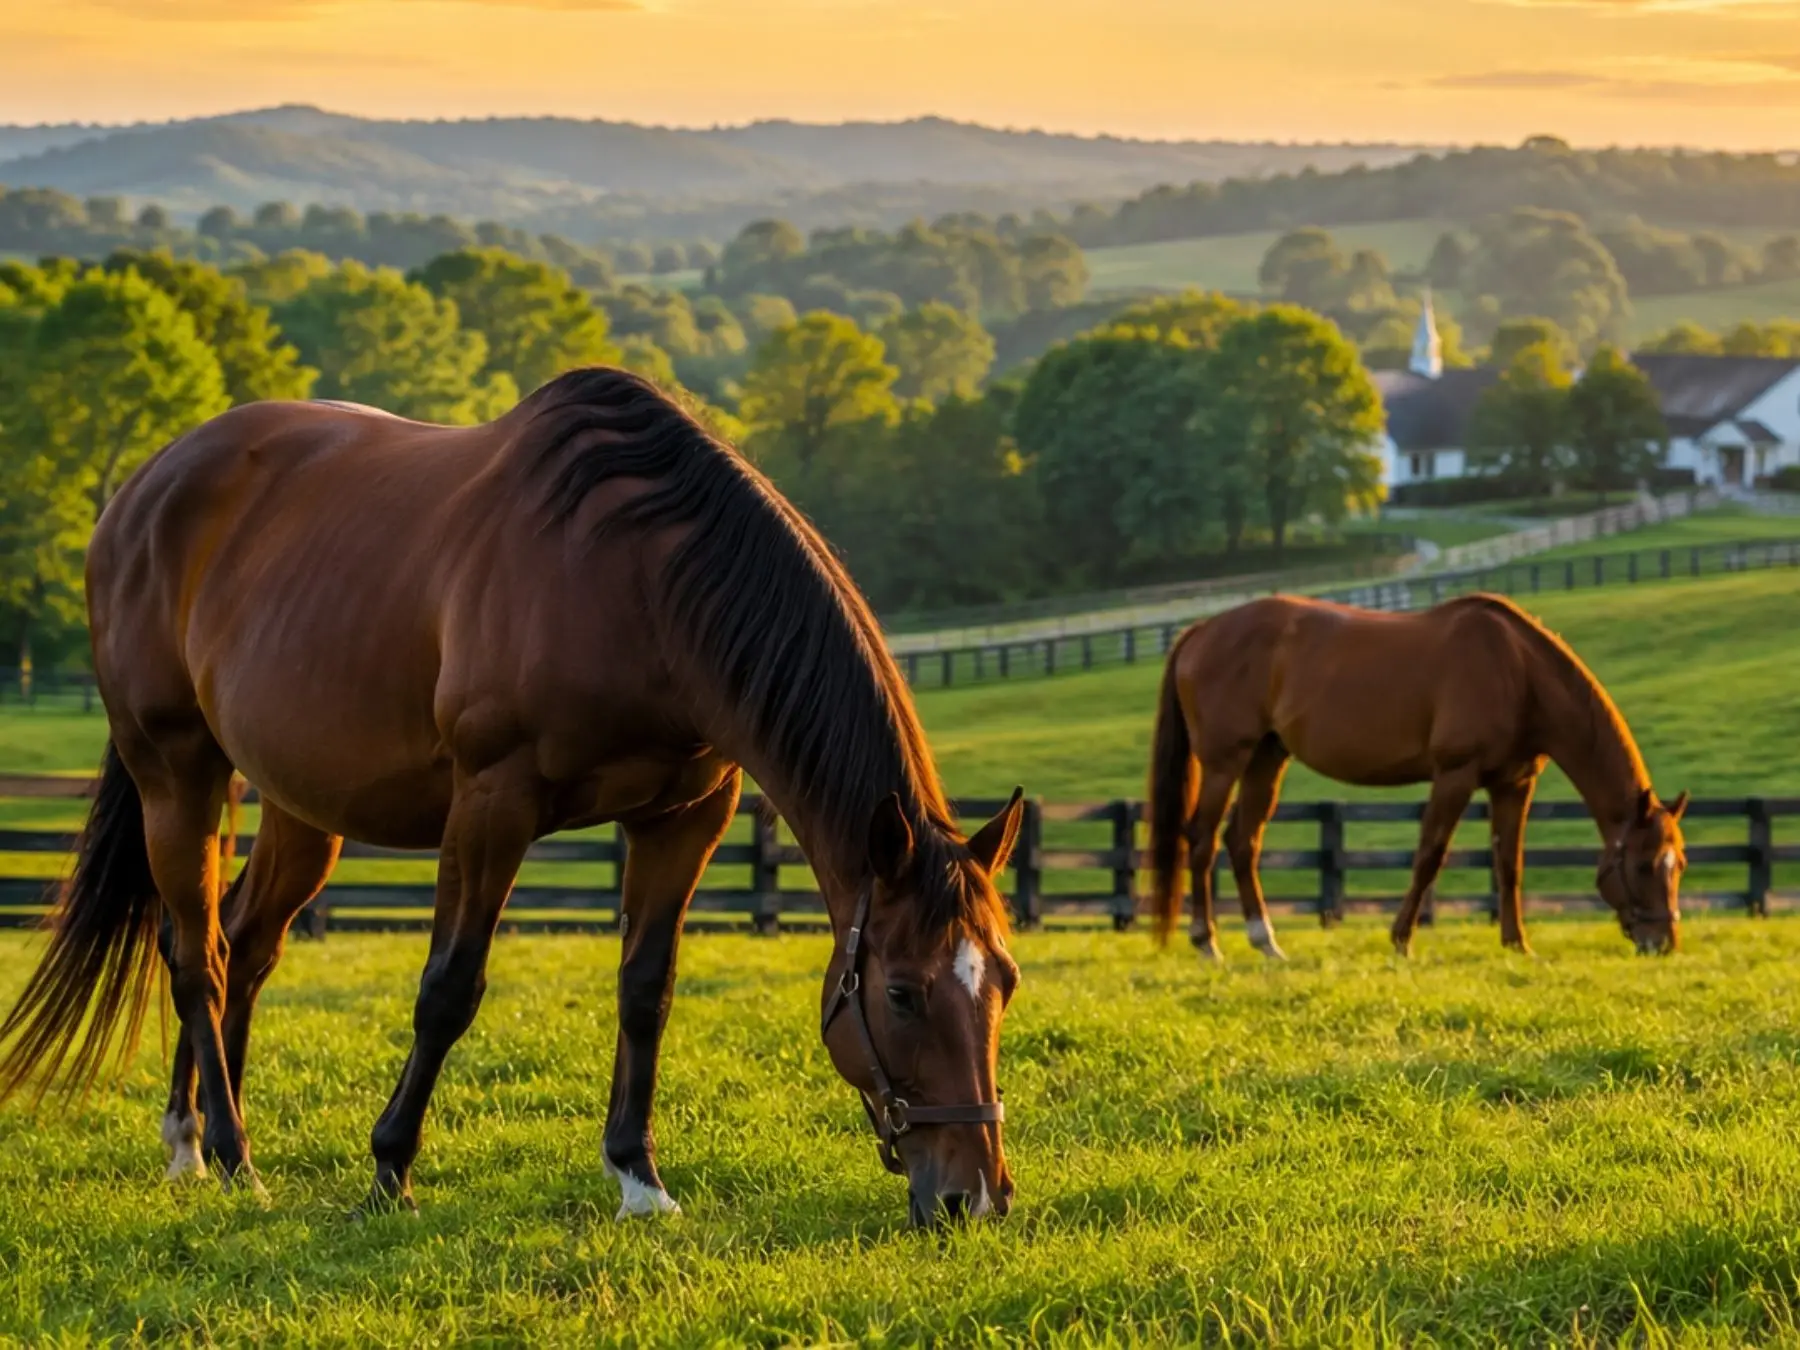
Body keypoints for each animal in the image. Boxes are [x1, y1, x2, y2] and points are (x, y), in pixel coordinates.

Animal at [0, 368, 1026, 1229]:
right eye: (900, 992)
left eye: (1005, 981)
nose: (975, 1198)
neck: (634, 581)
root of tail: (142, 493)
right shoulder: (493, 805)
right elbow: (448, 988)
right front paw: (390, 1170)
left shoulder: (683, 818)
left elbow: (645, 990)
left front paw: (639, 1178)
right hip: (177, 777)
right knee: (195, 957)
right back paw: (222, 1151)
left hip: (301, 806)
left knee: (243, 948)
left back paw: (206, 1140)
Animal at [1146, 593, 1689, 960]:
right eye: (1644, 866)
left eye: (1678, 864)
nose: (1663, 942)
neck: (1518, 671)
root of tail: (1201, 630)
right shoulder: (1455, 775)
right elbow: (1430, 856)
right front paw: (1401, 939)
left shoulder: (1513, 784)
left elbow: (1508, 864)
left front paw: (1517, 944)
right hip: (1224, 763)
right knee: (1201, 841)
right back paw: (1207, 943)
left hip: (1266, 758)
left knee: (1243, 841)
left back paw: (1267, 943)